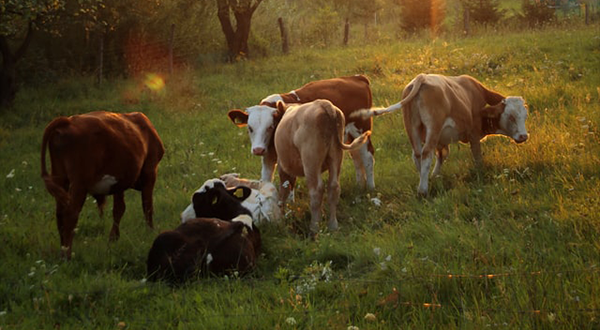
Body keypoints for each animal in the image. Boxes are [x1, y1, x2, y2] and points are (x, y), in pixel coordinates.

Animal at [40, 112, 164, 260]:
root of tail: (67, 121)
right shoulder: (150, 171)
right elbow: (147, 206)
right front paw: (150, 232)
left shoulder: (119, 182)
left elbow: (119, 209)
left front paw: (113, 239)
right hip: (79, 183)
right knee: (71, 213)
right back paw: (67, 254)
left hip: (60, 178)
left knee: (60, 214)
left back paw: (62, 250)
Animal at [226, 74, 376, 189]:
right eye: (250, 128)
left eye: (270, 126)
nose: (258, 150)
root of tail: (357, 77)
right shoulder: (268, 156)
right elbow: (266, 180)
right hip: (349, 136)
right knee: (356, 156)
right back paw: (360, 186)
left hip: (361, 129)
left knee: (368, 156)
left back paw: (370, 188)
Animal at [276, 99, 370, 233]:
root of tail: (325, 104)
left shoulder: (282, 166)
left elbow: (283, 191)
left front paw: (280, 219)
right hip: (336, 156)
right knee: (334, 187)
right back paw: (333, 225)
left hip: (311, 160)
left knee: (316, 190)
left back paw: (314, 227)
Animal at [354, 73, 528, 195]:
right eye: (511, 117)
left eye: (525, 116)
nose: (524, 136)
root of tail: (422, 77)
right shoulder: (473, 133)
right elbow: (477, 156)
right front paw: (480, 172)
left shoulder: (441, 139)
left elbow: (442, 154)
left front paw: (435, 176)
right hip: (433, 127)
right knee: (426, 153)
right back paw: (423, 190)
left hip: (412, 127)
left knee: (417, 155)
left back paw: (422, 180)